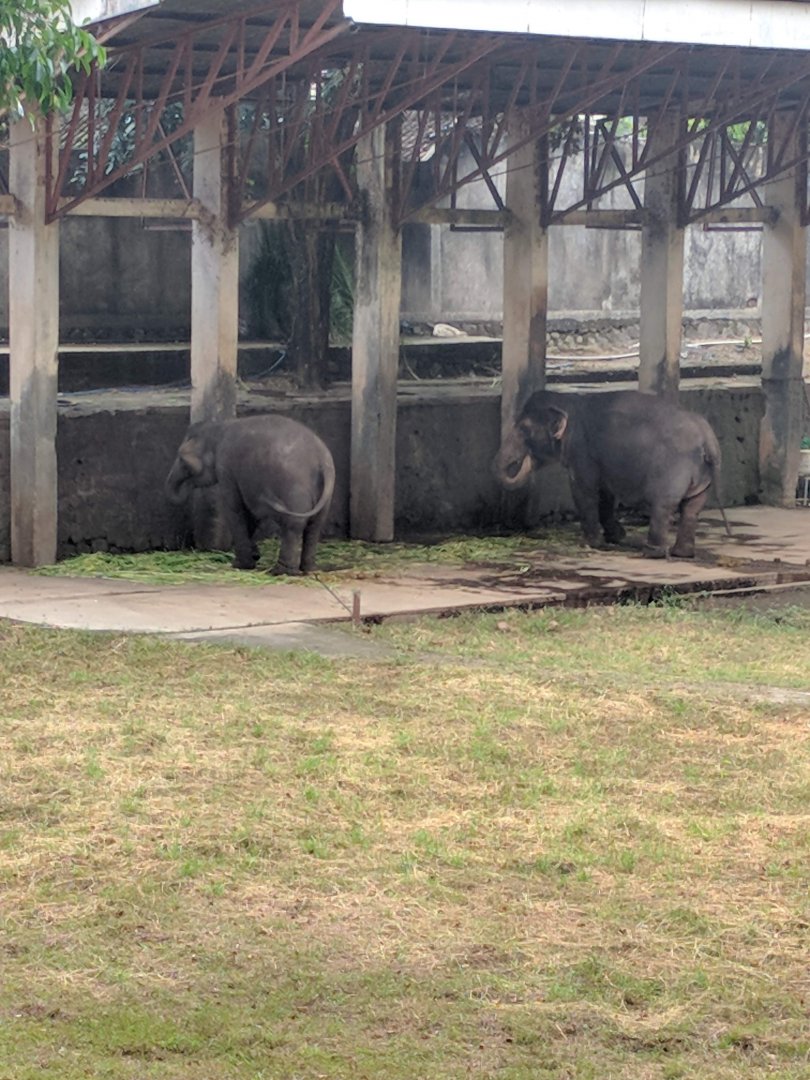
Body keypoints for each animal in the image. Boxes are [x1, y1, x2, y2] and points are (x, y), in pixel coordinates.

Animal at [165, 414, 335, 575]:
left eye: (182, 460)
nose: (187, 486)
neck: (220, 427)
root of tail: (323, 460)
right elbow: (251, 515)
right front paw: (254, 556)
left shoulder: (226, 466)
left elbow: (236, 509)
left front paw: (239, 565)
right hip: (323, 494)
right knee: (314, 526)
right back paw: (310, 569)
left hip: (292, 485)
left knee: (293, 525)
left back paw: (280, 572)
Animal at [494, 389, 729, 559]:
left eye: (523, 429)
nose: (525, 460)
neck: (570, 401)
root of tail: (708, 439)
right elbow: (605, 493)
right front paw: (616, 536)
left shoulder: (581, 450)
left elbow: (584, 491)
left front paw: (589, 543)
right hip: (701, 476)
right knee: (692, 507)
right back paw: (682, 553)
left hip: (672, 469)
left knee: (663, 505)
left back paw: (651, 553)